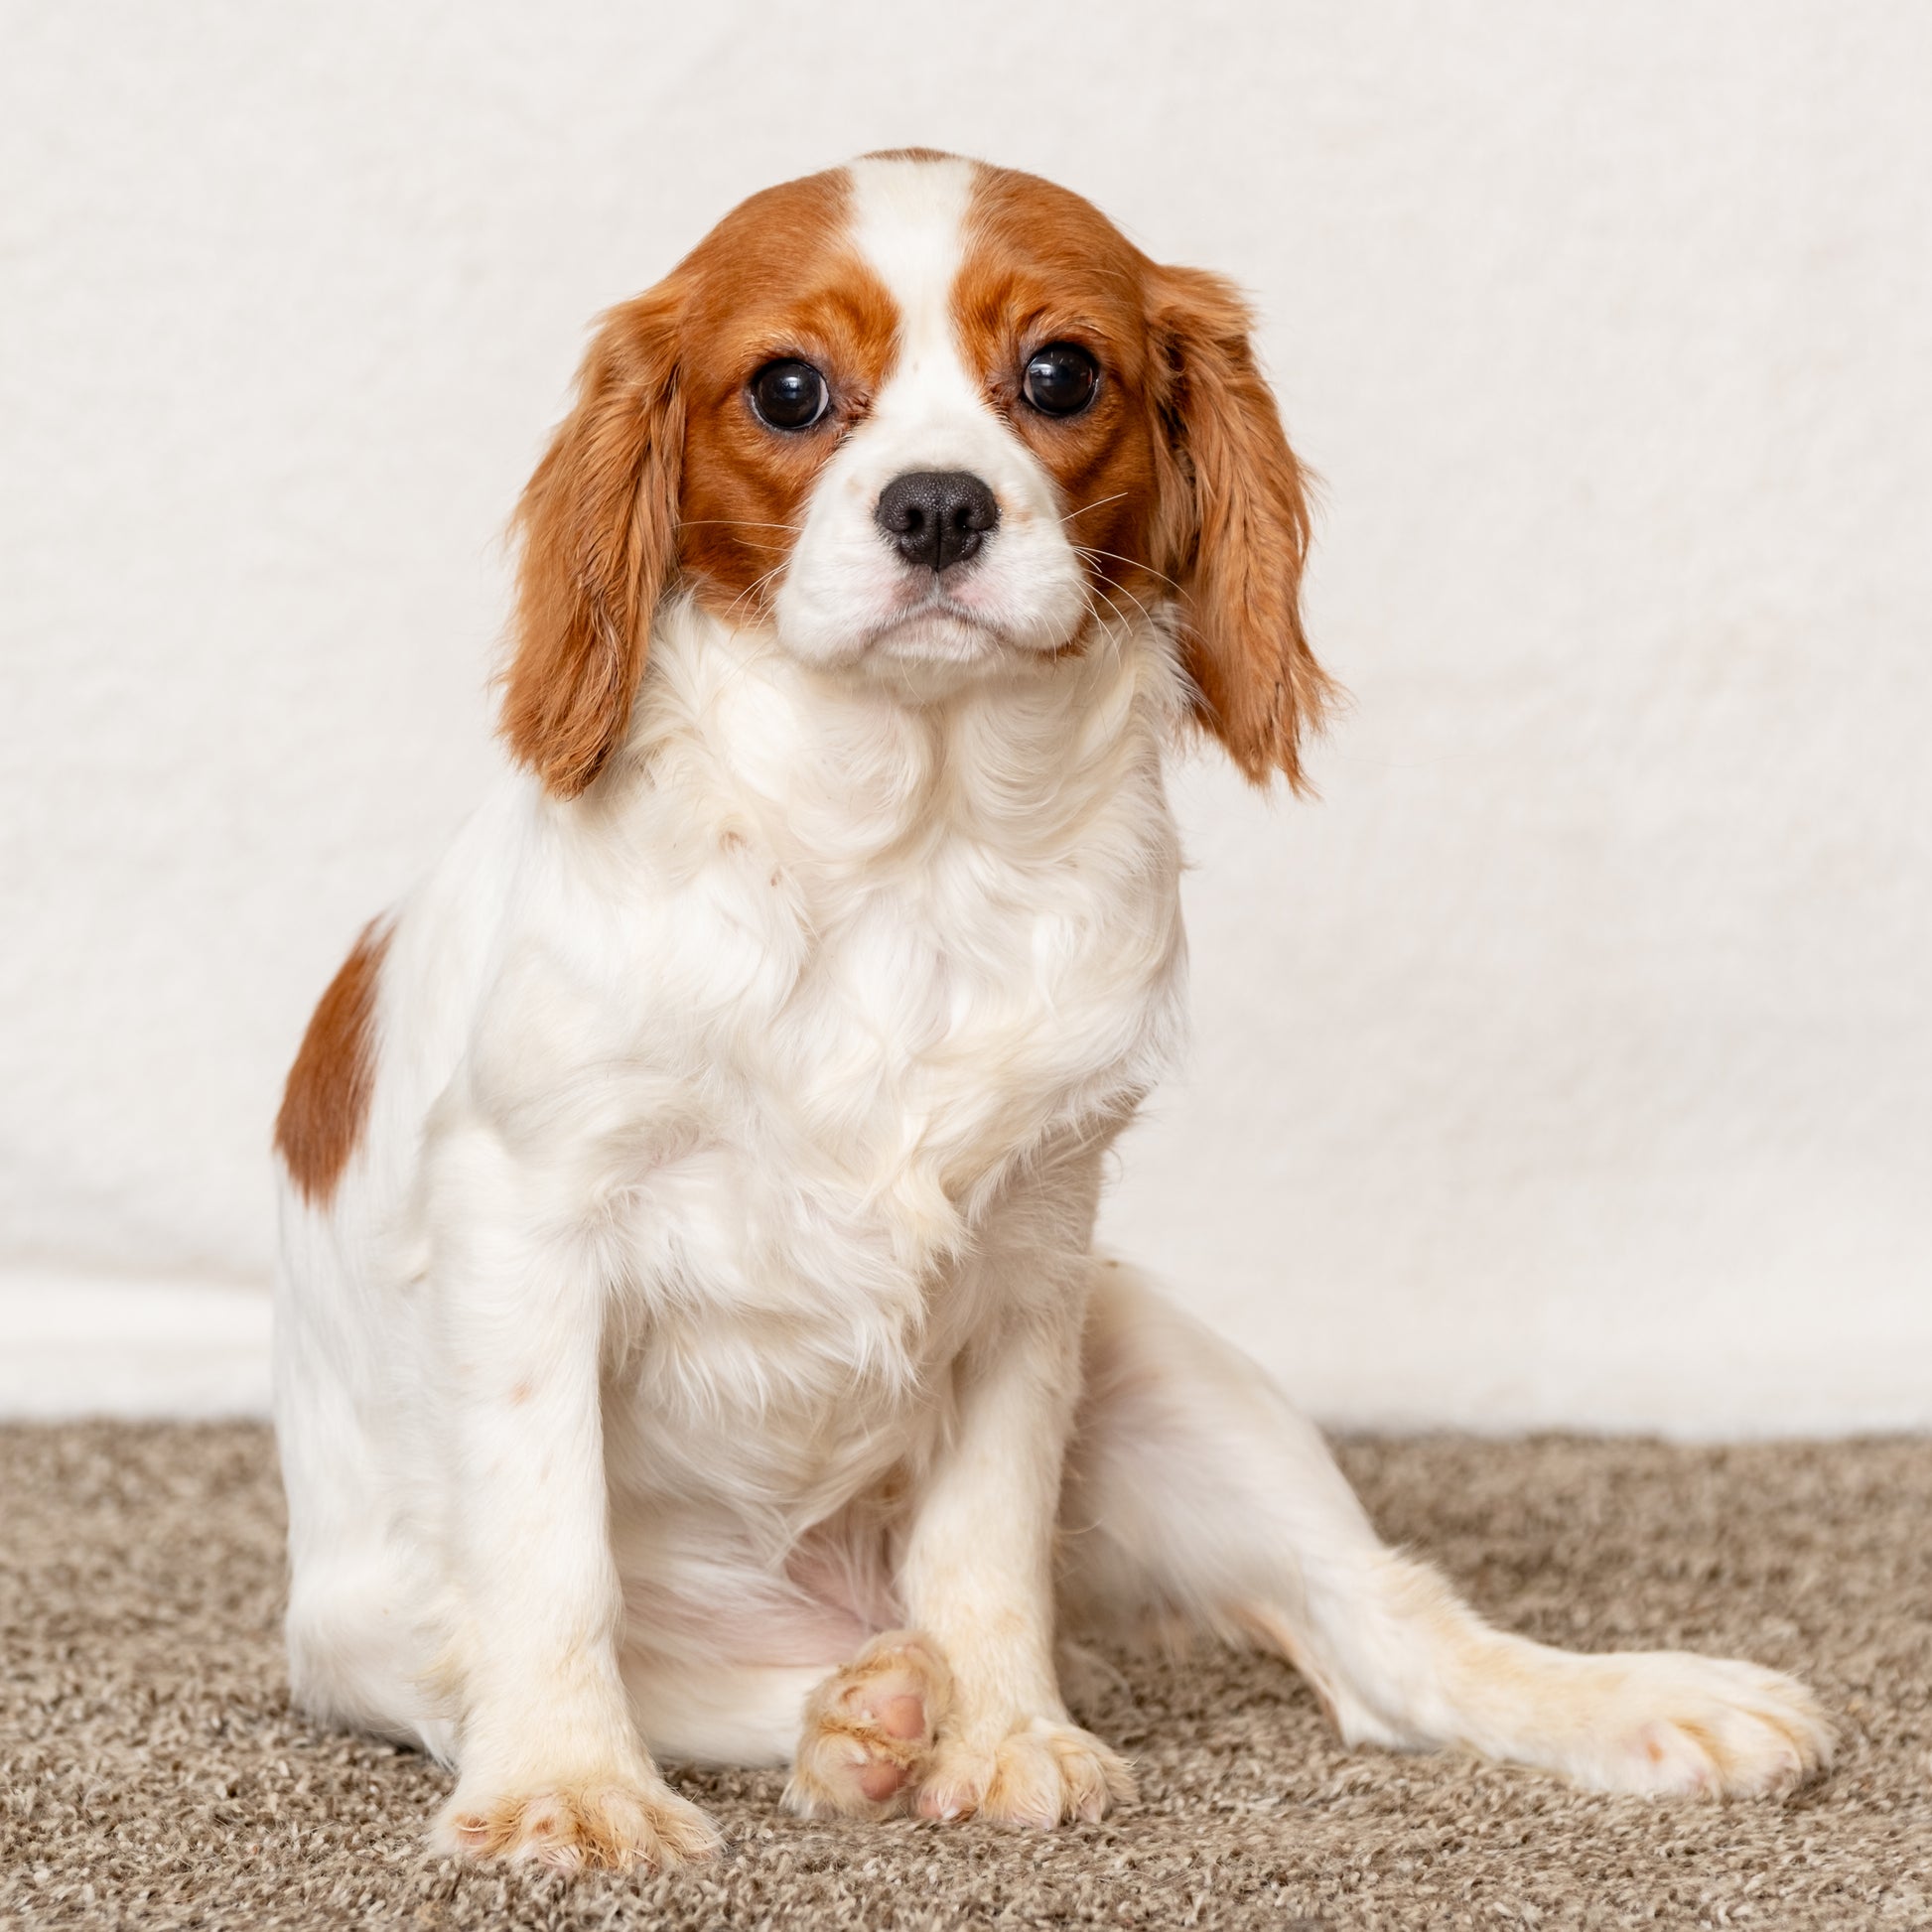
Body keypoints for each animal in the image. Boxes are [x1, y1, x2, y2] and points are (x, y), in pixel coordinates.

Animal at [272, 150, 1824, 1869]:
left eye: (1060, 375)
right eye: (789, 388)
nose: (938, 505)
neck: (906, 850)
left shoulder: (1029, 1254)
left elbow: (986, 1538)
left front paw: (1005, 1733)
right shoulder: (526, 1221)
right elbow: (551, 1550)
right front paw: (566, 1781)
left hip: (1161, 1365)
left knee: (1381, 1633)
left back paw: (1632, 1703)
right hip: (367, 1633)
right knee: (640, 1664)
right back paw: (850, 1723)